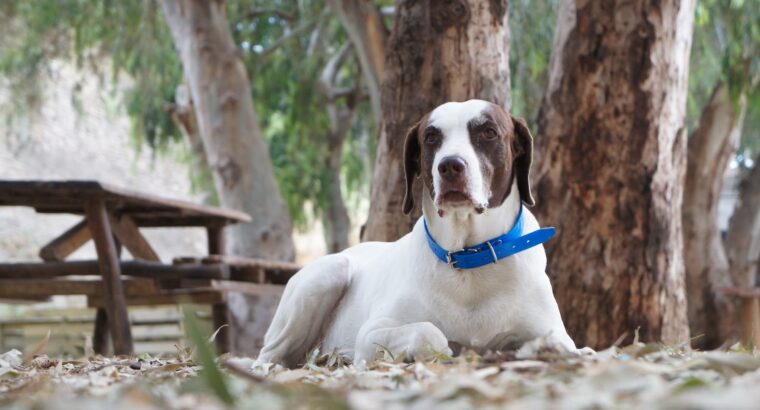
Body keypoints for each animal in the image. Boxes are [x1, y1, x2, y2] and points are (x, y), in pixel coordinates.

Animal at [258, 100, 580, 368]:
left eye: (489, 132)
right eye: (431, 137)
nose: (450, 165)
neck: (469, 260)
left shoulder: (556, 334)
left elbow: (557, 344)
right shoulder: (371, 333)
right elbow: (430, 332)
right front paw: (443, 349)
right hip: (327, 274)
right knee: (267, 355)